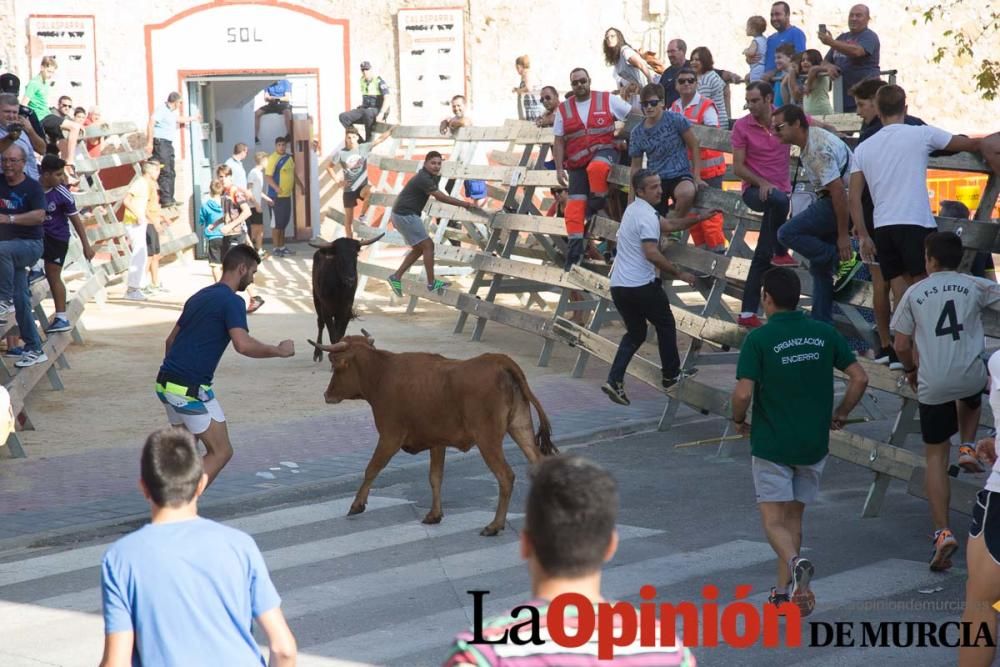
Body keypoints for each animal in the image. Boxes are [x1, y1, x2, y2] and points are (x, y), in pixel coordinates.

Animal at [308, 232, 382, 362]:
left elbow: (340, 334)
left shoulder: (346, 311)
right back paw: (317, 353)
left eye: (356, 255)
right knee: (320, 323)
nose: (350, 279)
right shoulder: (326, 310)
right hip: (316, 298)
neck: (339, 290)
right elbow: (333, 335)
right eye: (339, 256)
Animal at [308, 334, 560, 536]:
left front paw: (357, 504)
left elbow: (372, 468)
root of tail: (499, 360)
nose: (326, 394)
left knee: (506, 476)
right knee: (537, 463)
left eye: (335, 365)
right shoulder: (437, 442)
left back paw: (495, 525)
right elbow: (435, 477)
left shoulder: (390, 436)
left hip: (488, 440)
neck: (382, 373)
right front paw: (434, 514)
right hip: (520, 426)